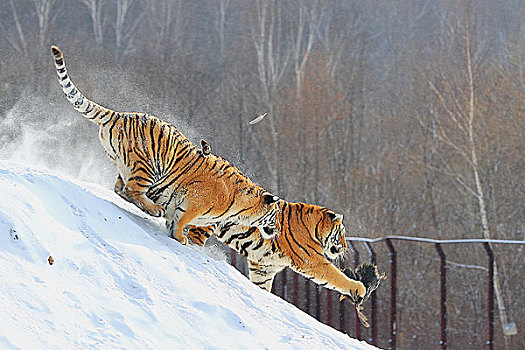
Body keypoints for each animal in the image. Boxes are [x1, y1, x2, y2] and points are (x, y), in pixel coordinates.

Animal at [51, 45, 280, 245]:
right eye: (276, 214)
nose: (277, 230)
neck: (241, 209)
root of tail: (120, 115)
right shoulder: (194, 201)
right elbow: (182, 220)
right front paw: (179, 237)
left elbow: (176, 219)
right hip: (149, 165)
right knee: (131, 190)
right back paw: (154, 209)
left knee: (120, 188)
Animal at [187, 201, 364, 300]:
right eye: (342, 233)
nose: (345, 247)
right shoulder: (312, 261)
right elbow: (336, 276)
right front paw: (359, 288)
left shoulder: (264, 267)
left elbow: (262, 286)